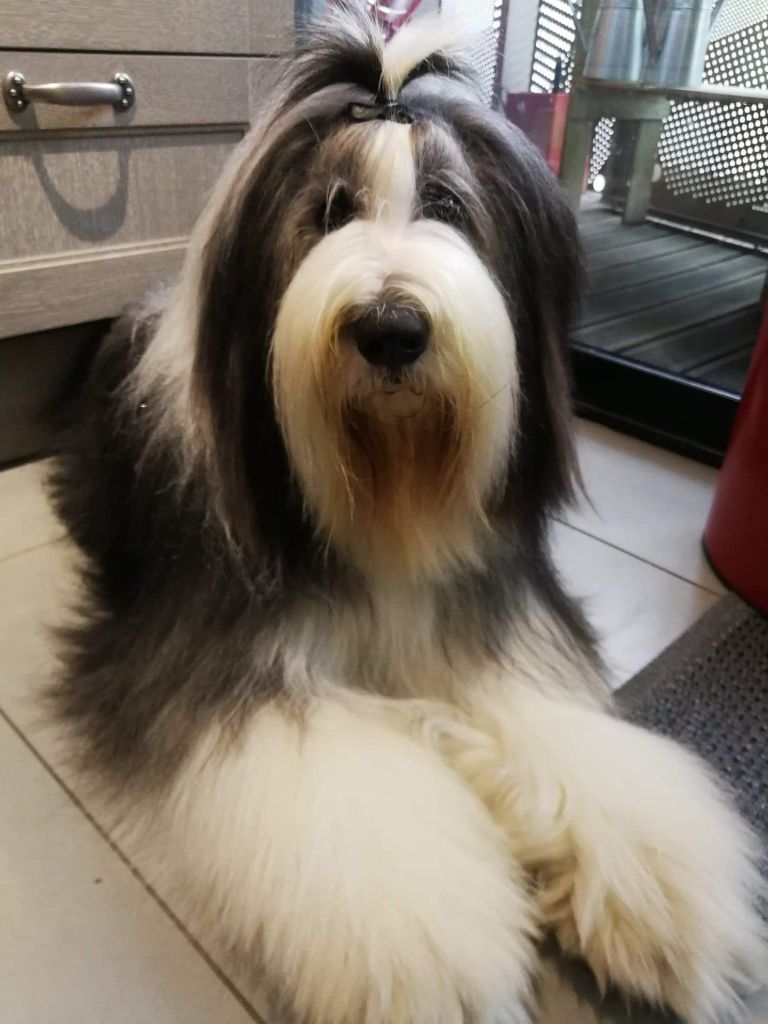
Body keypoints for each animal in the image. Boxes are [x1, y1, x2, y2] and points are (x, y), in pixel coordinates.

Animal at [51, 6, 764, 1023]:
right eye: (329, 211)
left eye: (449, 206)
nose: (391, 329)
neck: (390, 494)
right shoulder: (215, 643)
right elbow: (329, 771)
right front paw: (434, 950)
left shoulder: (490, 615)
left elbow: (549, 723)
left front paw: (655, 885)